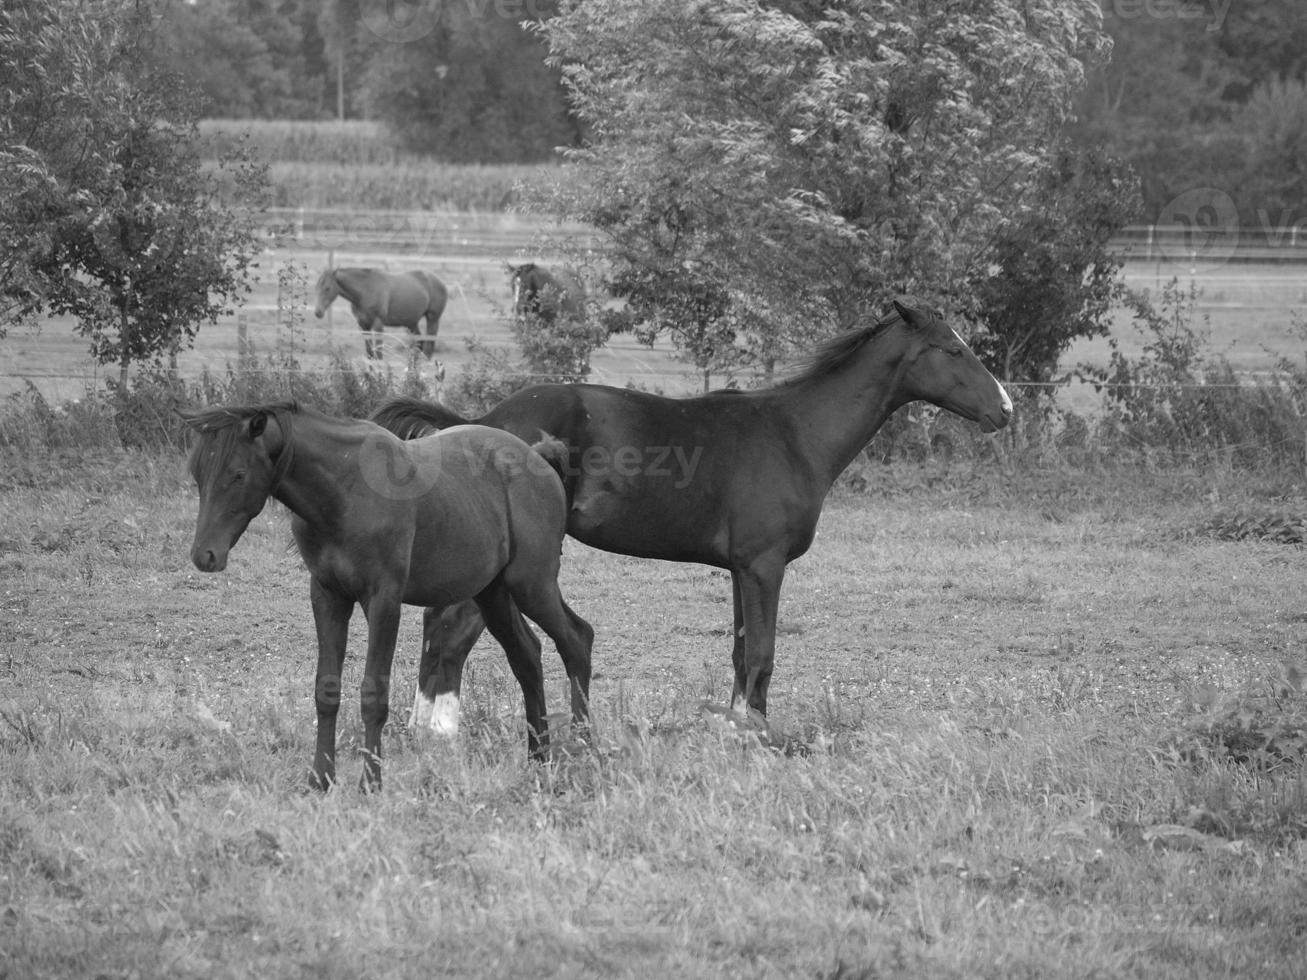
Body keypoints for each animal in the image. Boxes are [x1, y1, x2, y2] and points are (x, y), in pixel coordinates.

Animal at [312, 266, 449, 358]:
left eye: (327, 288)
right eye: (316, 287)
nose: (318, 312)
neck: (366, 290)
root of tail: (440, 282)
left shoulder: (378, 324)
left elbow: (378, 351)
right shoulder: (363, 324)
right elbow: (369, 350)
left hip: (432, 319)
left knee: (429, 342)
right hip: (411, 323)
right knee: (420, 342)